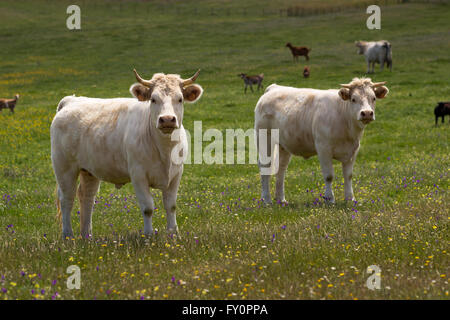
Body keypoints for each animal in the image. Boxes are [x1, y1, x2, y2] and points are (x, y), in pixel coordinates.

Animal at [50, 69, 202, 238]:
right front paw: (148, 236)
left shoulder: (176, 174)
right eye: (153, 99)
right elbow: (148, 208)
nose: (167, 119)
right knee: (66, 199)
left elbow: (171, 206)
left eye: (180, 99)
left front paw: (174, 235)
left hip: (89, 170)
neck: (165, 150)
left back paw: (87, 236)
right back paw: (68, 236)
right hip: (64, 167)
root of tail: (71, 100)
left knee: (87, 197)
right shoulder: (138, 175)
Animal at [255, 77, 388, 205]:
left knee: (281, 170)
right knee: (265, 167)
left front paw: (350, 199)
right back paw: (266, 200)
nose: (367, 113)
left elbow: (348, 176)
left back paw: (281, 200)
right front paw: (330, 199)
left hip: (284, 144)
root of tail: (273, 88)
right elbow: (329, 176)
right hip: (264, 139)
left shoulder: (353, 150)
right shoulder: (323, 148)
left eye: (374, 98)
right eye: (353, 99)